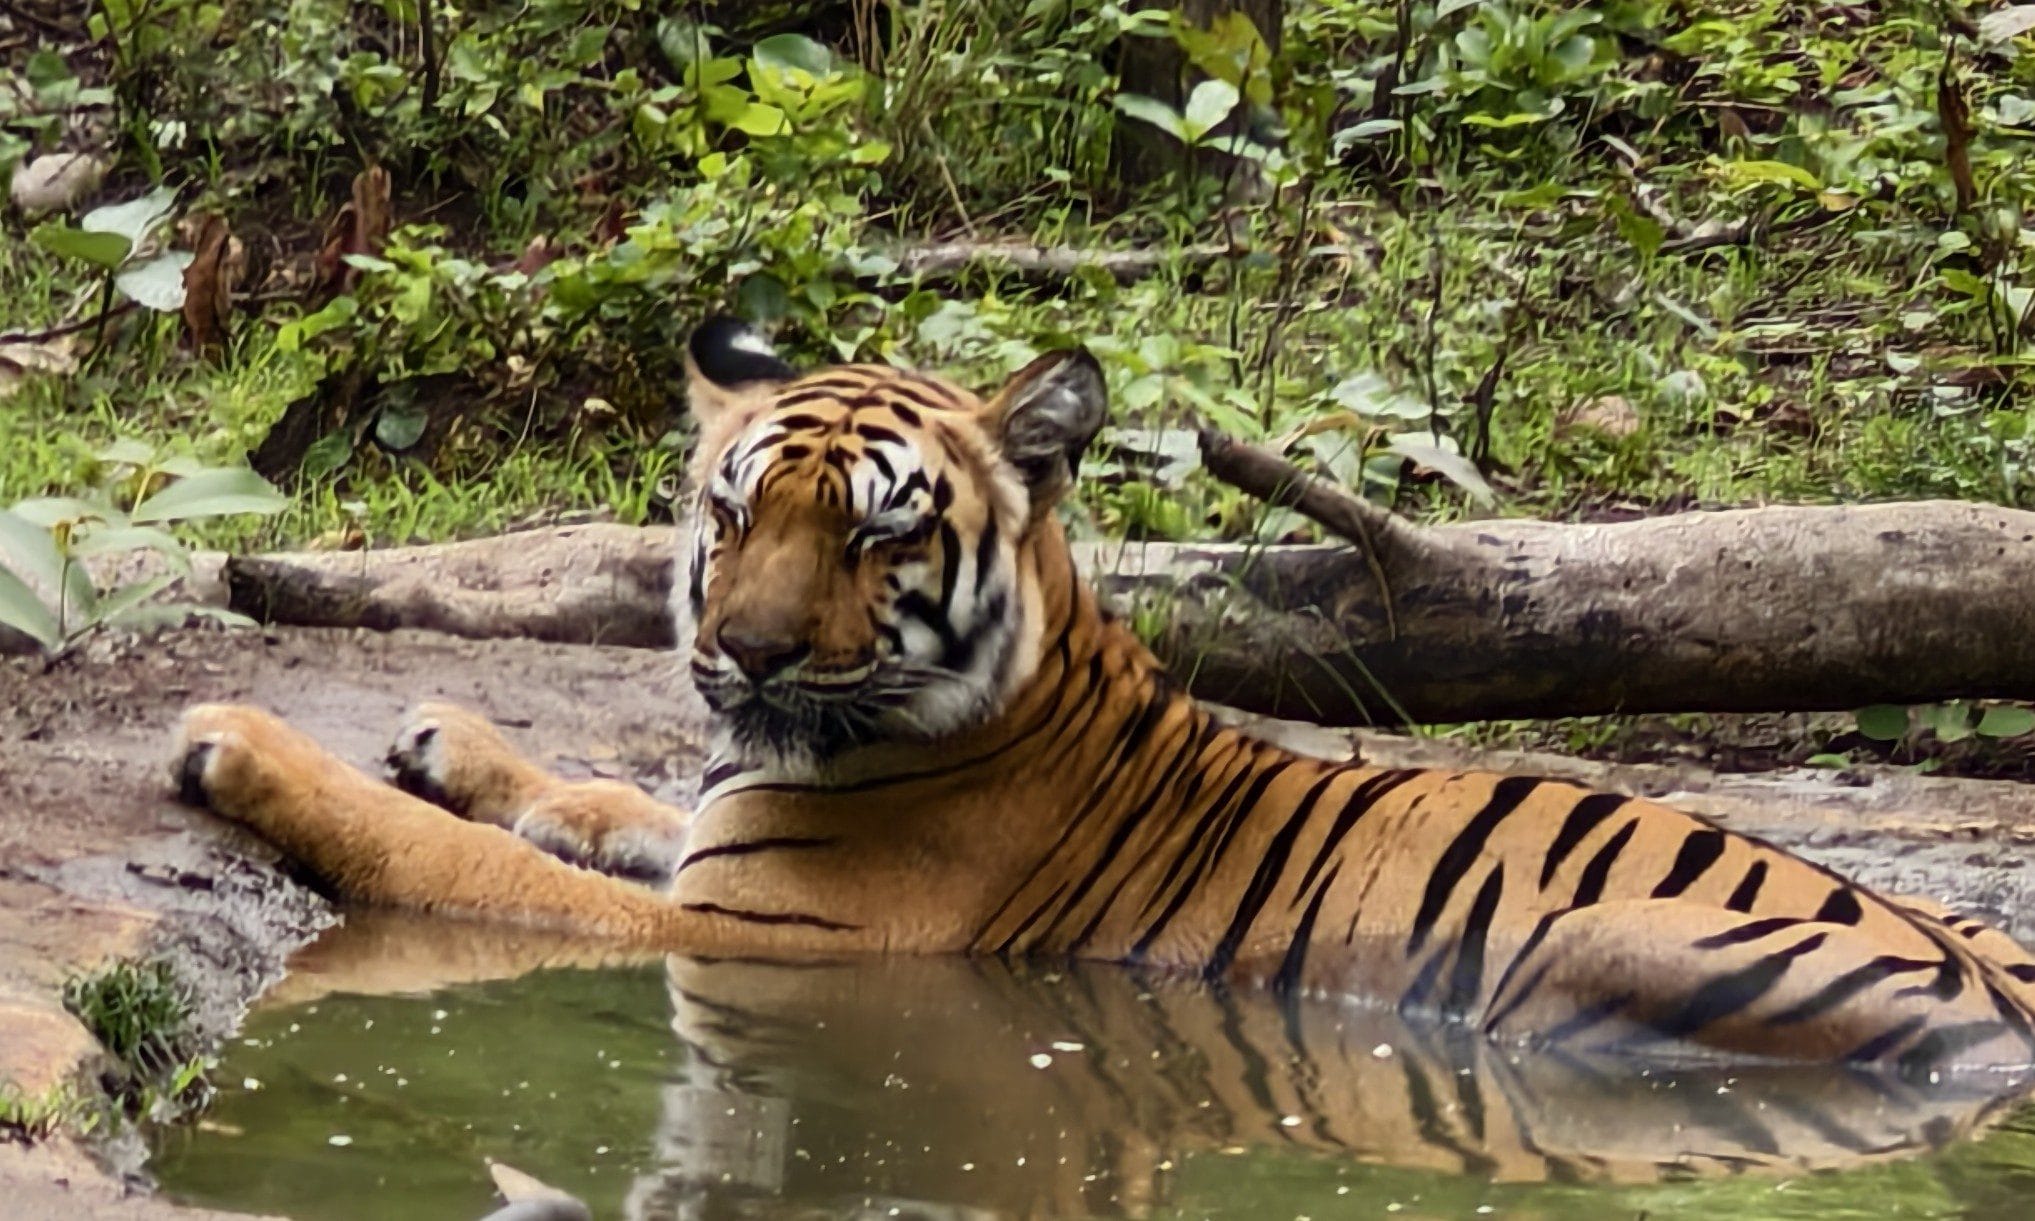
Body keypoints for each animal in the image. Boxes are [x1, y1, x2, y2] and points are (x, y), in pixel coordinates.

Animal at [173, 316, 2035, 1084]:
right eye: (730, 511)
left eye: (877, 533)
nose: (749, 657)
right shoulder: (719, 832)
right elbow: (610, 792)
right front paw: (447, 732)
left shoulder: (752, 936)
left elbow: (485, 872)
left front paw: (246, 743)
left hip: (1587, 954)